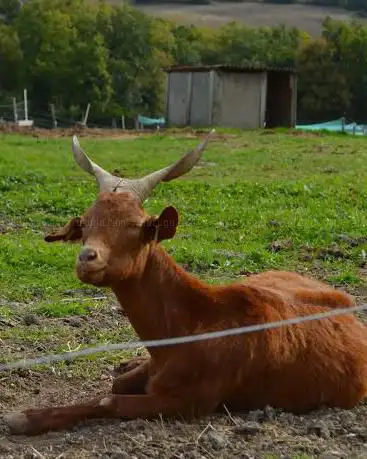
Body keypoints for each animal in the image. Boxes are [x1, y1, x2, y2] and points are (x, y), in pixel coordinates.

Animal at [3, 132, 367, 434]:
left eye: (139, 227)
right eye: (85, 223)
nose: (87, 258)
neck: (190, 325)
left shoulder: (190, 400)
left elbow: (110, 399)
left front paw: (25, 418)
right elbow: (117, 386)